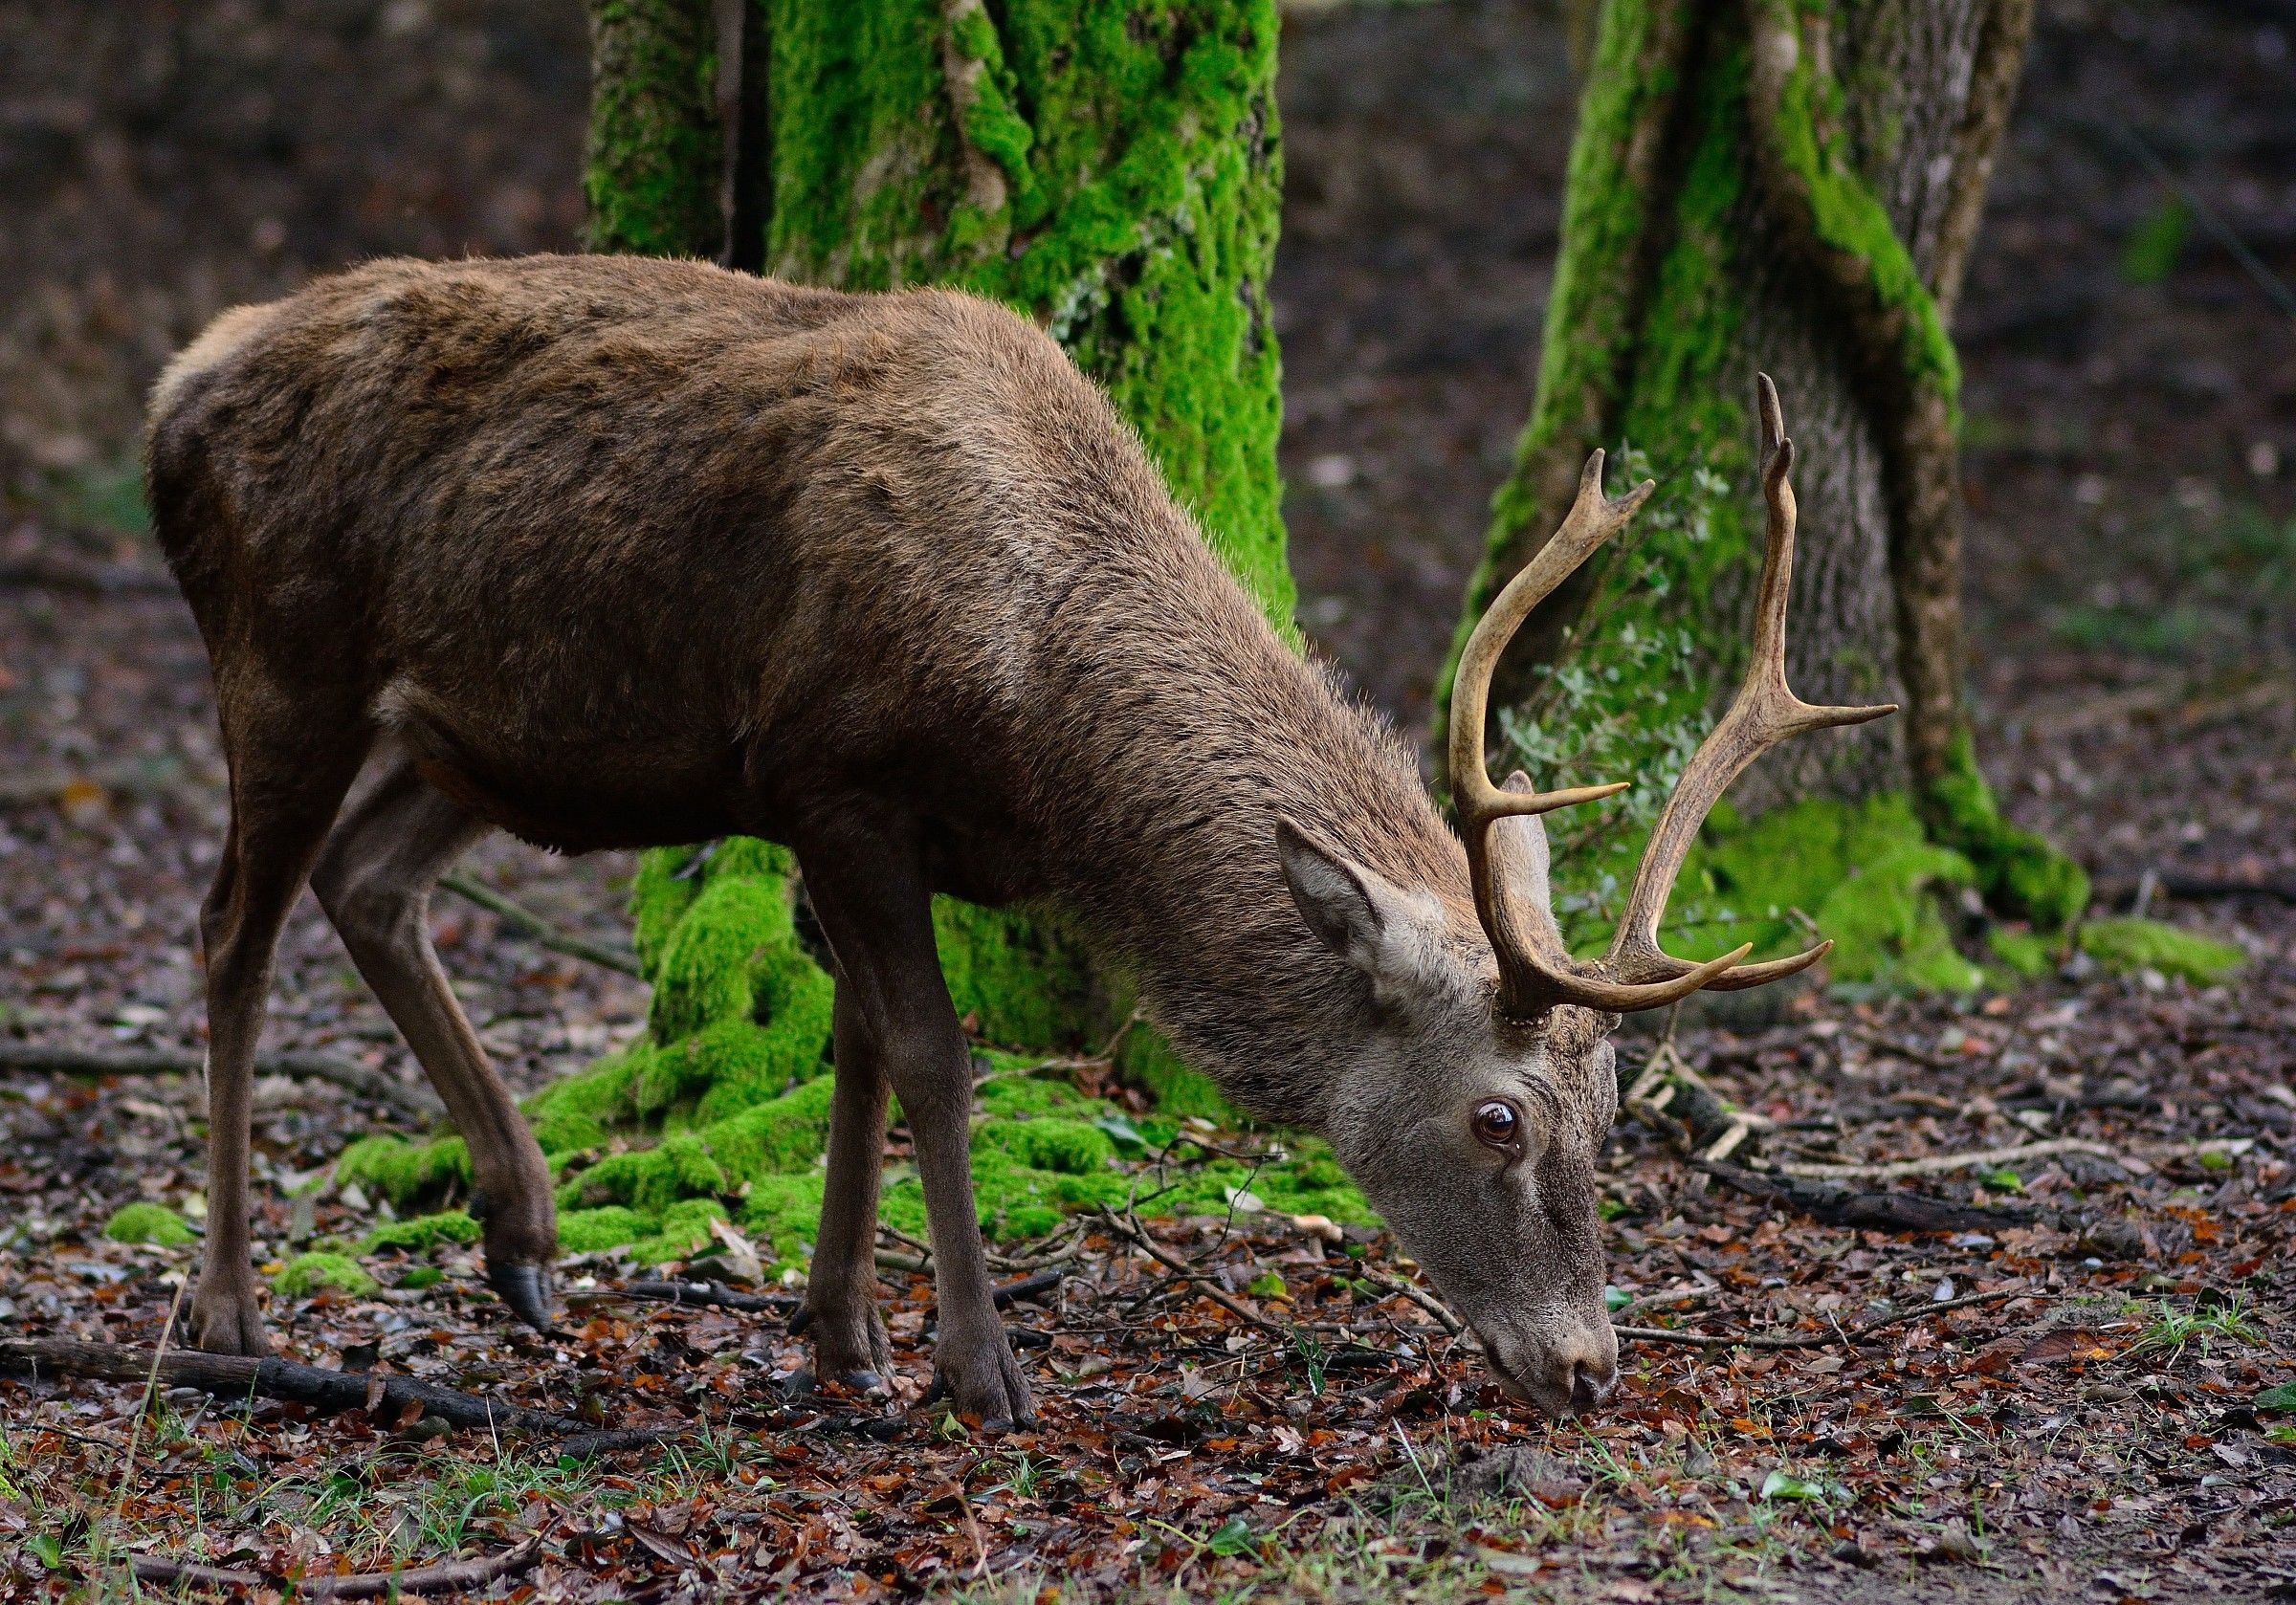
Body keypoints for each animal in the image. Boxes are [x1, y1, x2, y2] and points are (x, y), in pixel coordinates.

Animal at [147, 252, 1891, 1426]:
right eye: (1498, 1118)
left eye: (1614, 1111)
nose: (1587, 1364)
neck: (1045, 732)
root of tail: (175, 392)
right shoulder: (832, 766)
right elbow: (933, 1049)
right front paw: (978, 1363)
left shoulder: (865, 825)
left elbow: (853, 1042)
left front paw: (843, 1331)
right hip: (281, 648)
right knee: (233, 924)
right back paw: (229, 1310)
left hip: (479, 732)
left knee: (370, 883)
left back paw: (522, 1235)